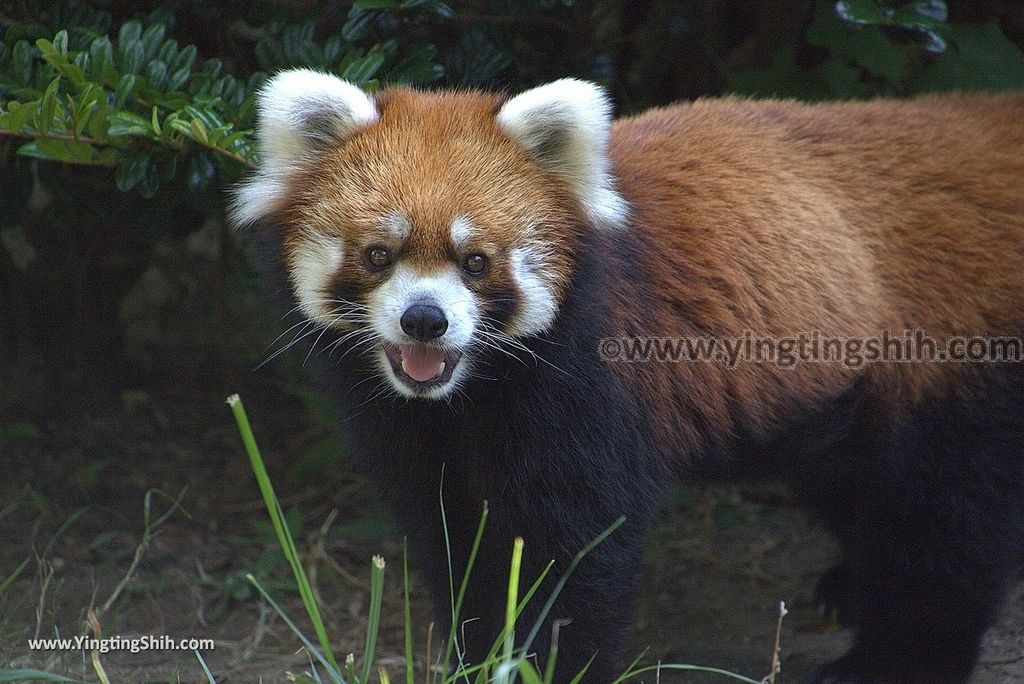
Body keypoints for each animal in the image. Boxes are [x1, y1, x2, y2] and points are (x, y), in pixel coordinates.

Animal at [232, 70, 1024, 684]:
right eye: (378, 254)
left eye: (476, 261)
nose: (424, 320)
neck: (471, 391)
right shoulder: (412, 427)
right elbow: (454, 536)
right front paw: (479, 651)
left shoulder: (593, 390)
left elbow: (569, 552)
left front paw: (547, 662)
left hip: (953, 354)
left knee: (943, 518)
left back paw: (895, 657)